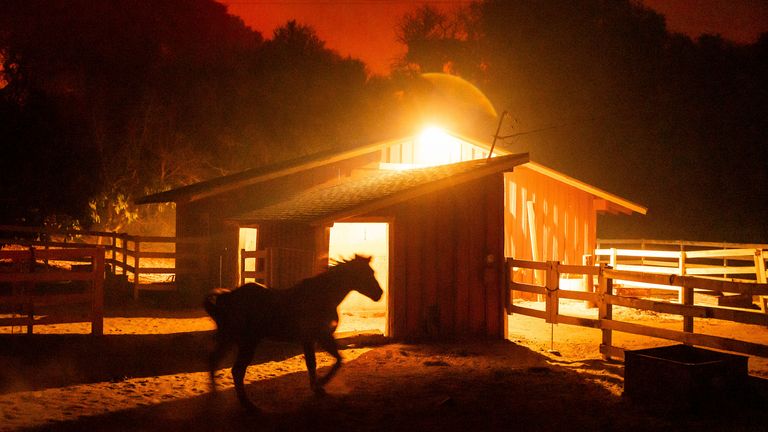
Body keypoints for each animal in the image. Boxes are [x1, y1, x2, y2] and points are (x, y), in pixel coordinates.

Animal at [204, 255, 384, 410]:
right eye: (366, 273)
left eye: (372, 272)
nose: (379, 294)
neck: (322, 296)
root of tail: (227, 296)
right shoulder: (317, 337)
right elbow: (322, 362)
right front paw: (320, 384)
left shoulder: (318, 338)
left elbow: (332, 360)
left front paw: (319, 387)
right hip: (247, 342)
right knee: (236, 371)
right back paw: (249, 406)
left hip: (229, 339)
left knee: (214, 360)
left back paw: (216, 395)